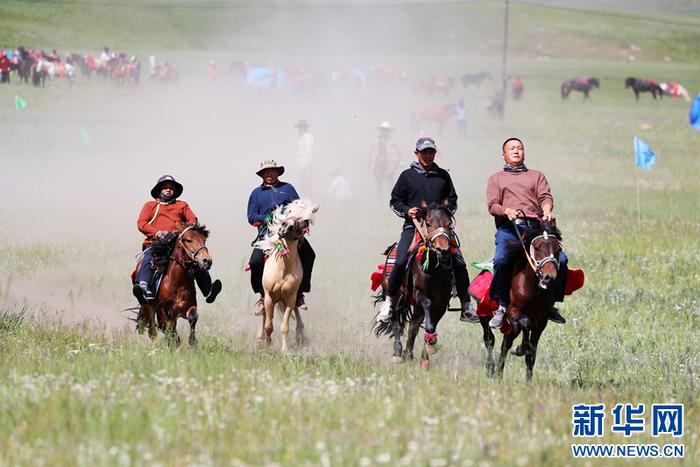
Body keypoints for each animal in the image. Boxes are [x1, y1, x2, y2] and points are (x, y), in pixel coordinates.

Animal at [374, 203, 456, 372]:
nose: (443, 250)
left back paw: (409, 354)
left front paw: (427, 354)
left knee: (413, 325)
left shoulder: (442, 302)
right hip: (395, 296)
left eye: (448, 224)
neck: (434, 270)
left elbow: (430, 324)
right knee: (397, 324)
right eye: (429, 223)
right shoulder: (419, 294)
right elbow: (427, 307)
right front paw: (430, 346)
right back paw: (398, 354)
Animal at [482, 218, 564, 382]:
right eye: (536, 248)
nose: (549, 277)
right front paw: (519, 349)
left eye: (558, 249)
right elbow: (525, 325)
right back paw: (492, 369)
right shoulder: (514, 313)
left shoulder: (541, 322)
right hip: (485, 317)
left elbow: (531, 353)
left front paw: (528, 381)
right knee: (491, 340)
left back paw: (499, 372)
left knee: (506, 342)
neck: (533, 290)